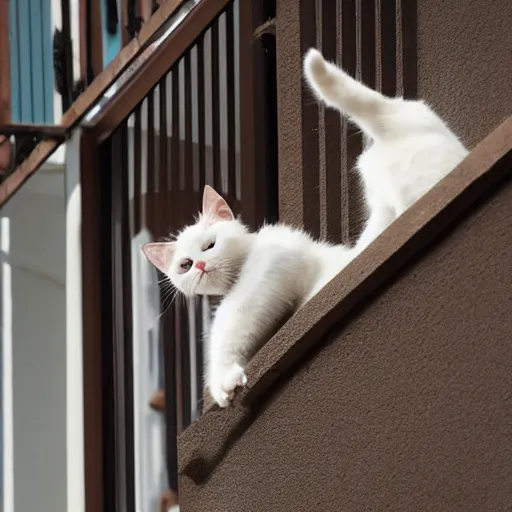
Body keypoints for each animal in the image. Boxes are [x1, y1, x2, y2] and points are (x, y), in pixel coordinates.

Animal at [140, 185, 356, 408]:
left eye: (210, 245)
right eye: (186, 265)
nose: (200, 265)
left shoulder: (271, 265)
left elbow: (234, 319)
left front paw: (223, 377)